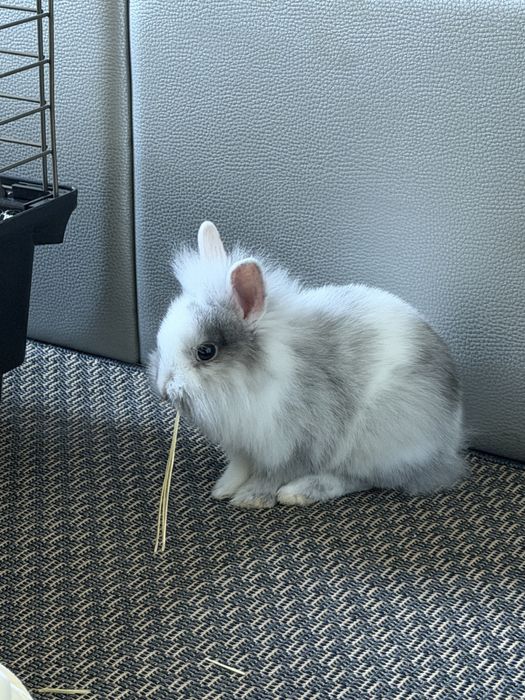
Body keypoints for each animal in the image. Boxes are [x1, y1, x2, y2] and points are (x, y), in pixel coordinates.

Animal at [149, 221, 466, 509]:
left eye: (206, 351)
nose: (163, 389)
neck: (254, 380)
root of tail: (449, 443)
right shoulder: (243, 446)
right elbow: (238, 468)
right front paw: (223, 489)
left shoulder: (294, 445)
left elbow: (272, 475)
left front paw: (251, 498)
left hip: (375, 442)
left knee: (361, 478)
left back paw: (300, 492)